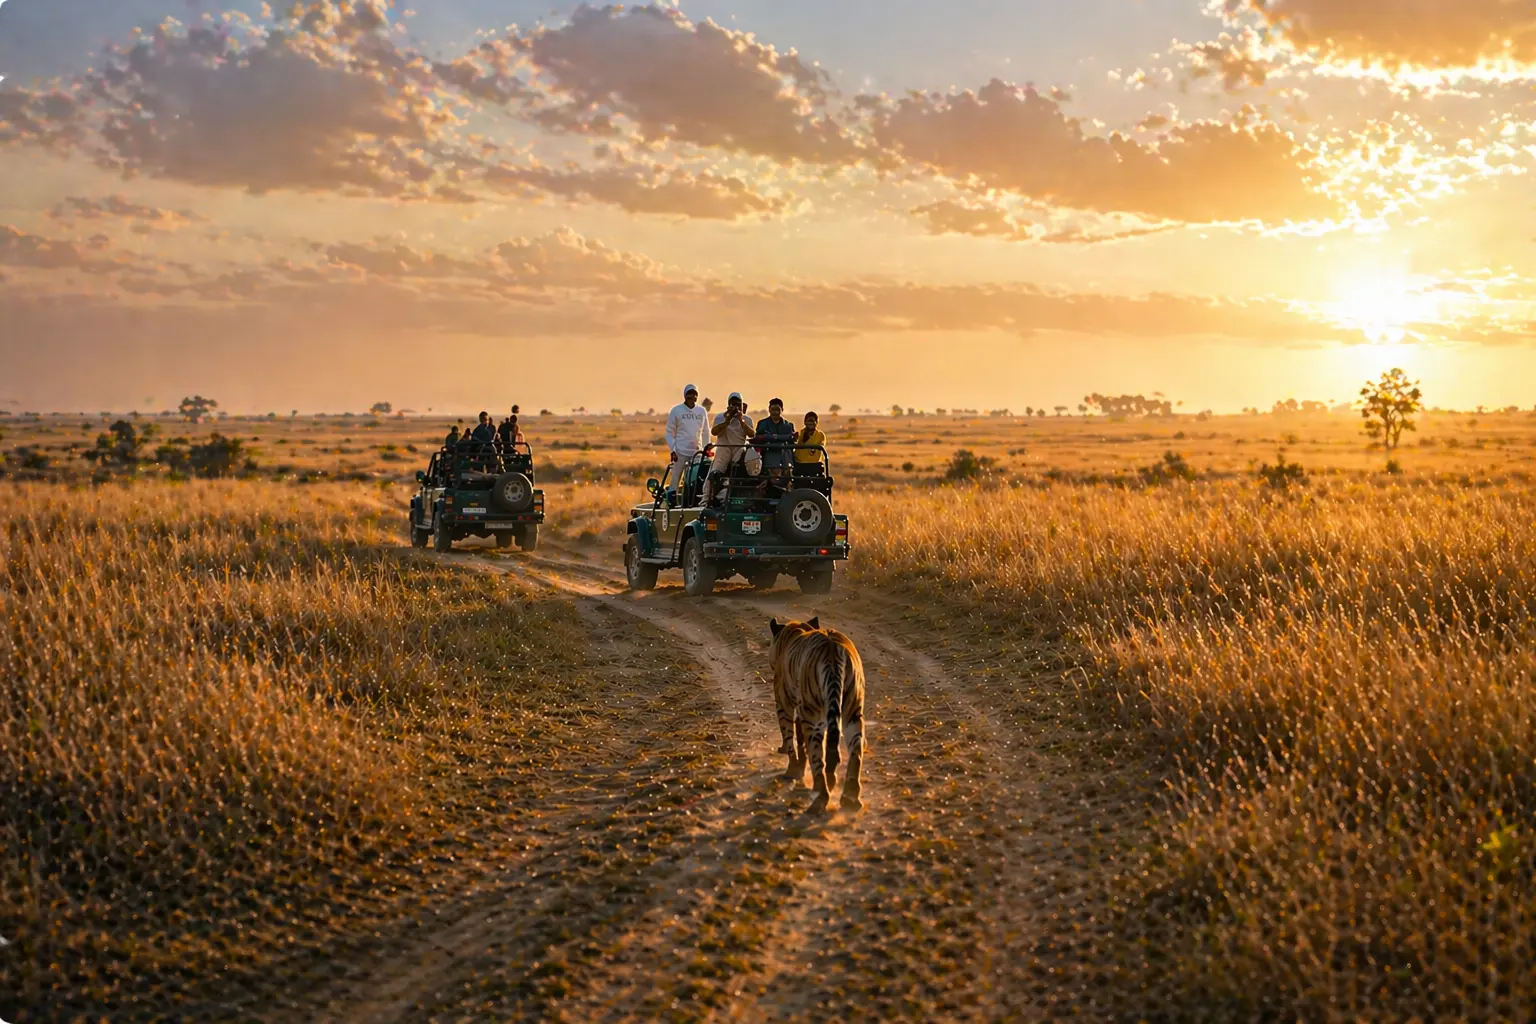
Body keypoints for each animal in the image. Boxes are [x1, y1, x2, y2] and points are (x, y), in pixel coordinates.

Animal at [768, 617, 867, 812]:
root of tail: (834, 650)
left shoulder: (784, 705)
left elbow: (789, 738)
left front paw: (792, 771)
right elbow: (799, 739)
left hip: (813, 720)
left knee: (818, 759)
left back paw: (820, 797)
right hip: (853, 713)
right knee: (855, 752)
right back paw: (850, 798)